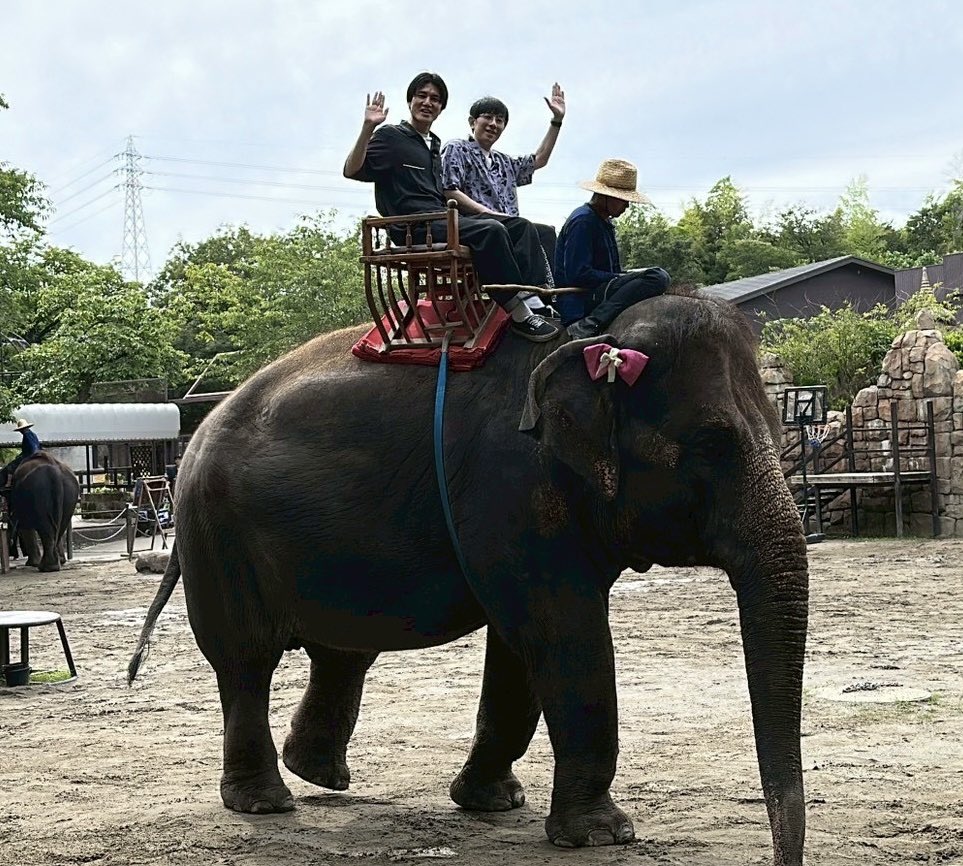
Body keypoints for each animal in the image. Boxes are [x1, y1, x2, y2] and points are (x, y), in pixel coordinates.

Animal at [129, 290, 809, 865]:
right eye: (712, 444)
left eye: (780, 435)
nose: (783, 858)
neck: (593, 336)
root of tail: (194, 435)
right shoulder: (509, 486)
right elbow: (563, 632)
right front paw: (602, 836)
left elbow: (521, 646)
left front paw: (494, 802)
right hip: (217, 535)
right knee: (245, 661)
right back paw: (265, 802)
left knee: (343, 650)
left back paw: (319, 776)